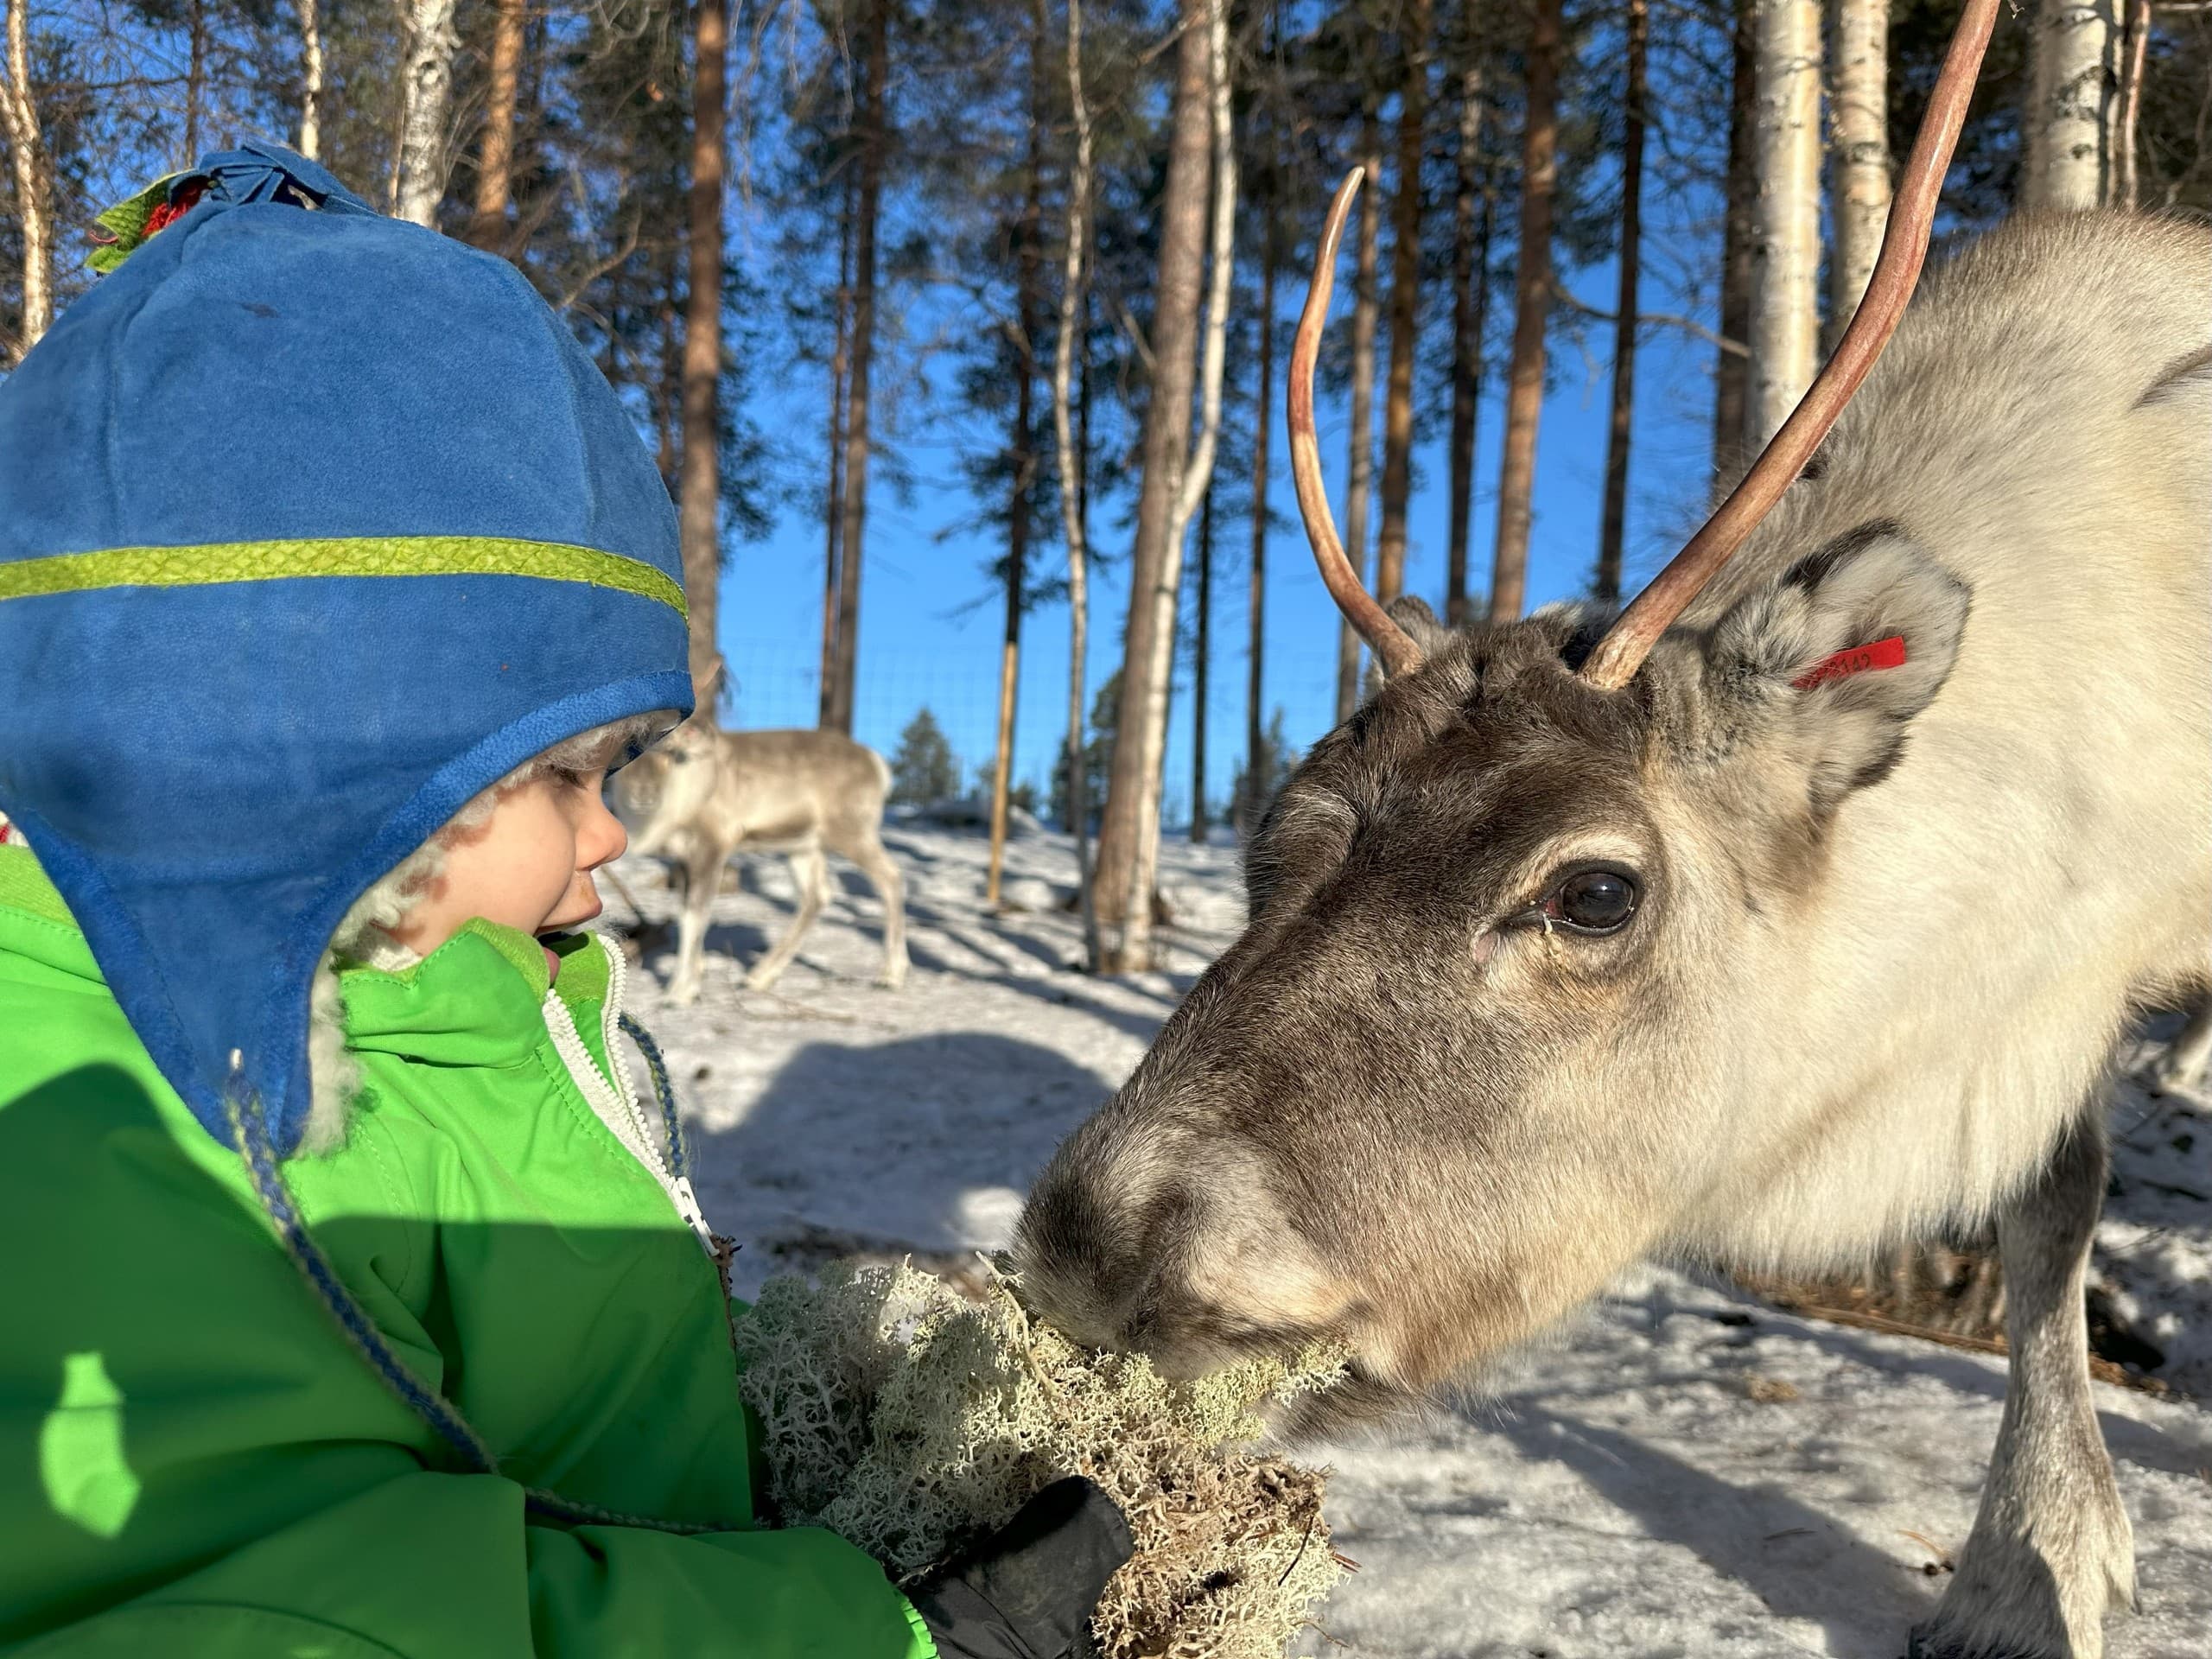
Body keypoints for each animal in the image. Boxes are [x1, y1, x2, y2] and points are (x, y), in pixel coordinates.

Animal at [609, 722, 909, 1002]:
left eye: (670, 753)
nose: (644, 794)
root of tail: (877, 764)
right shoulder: (683, 859)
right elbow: (685, 914)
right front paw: (694, 977)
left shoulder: (712, 846)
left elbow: (695, 916)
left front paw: (680, 992)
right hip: (803, 846)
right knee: (817, 895)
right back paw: (759, 976)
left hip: (850, 832)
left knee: (891, 876)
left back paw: (891, 975)